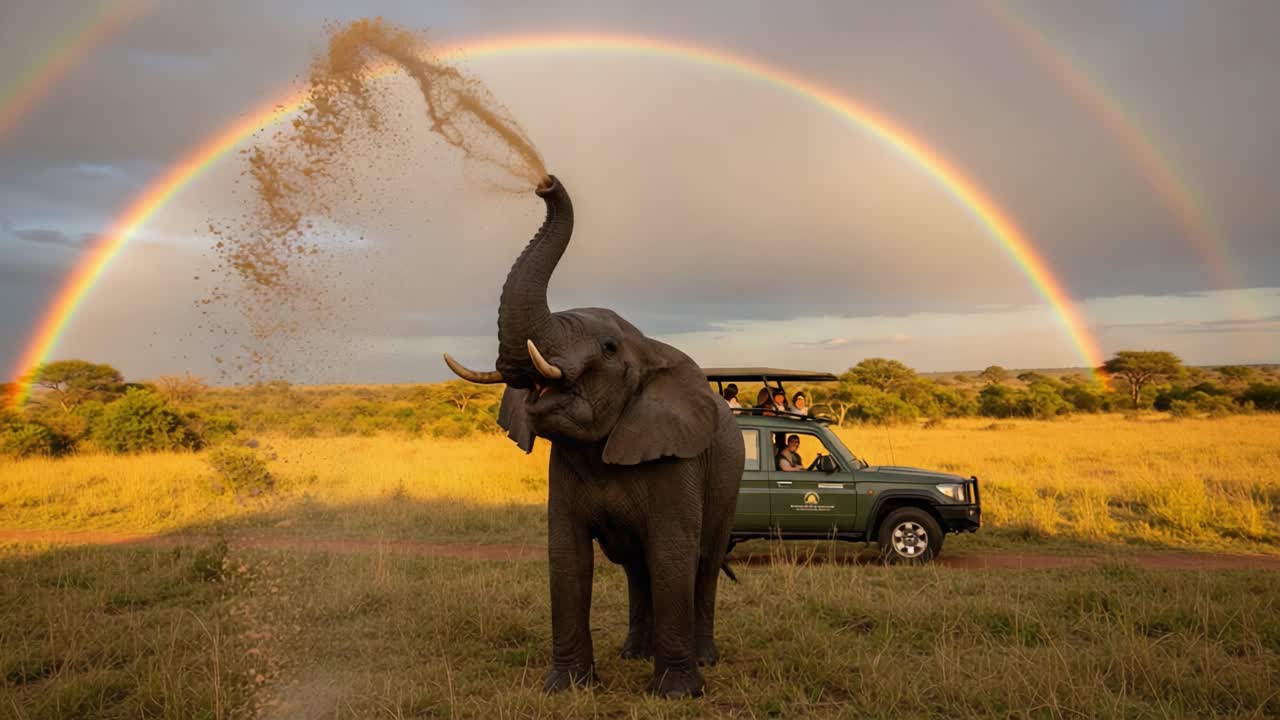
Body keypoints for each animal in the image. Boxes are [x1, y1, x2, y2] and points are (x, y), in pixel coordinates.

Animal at [443, 175, 744, 698]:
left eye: (607, 348)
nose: (544, 182)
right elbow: (568, 557)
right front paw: (566, 688)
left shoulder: (678, 459)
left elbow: (673, 554)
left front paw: (675, 693)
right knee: (637, 567)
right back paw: (634, 654)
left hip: (729, 473)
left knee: (703, 562)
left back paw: (704, 657)